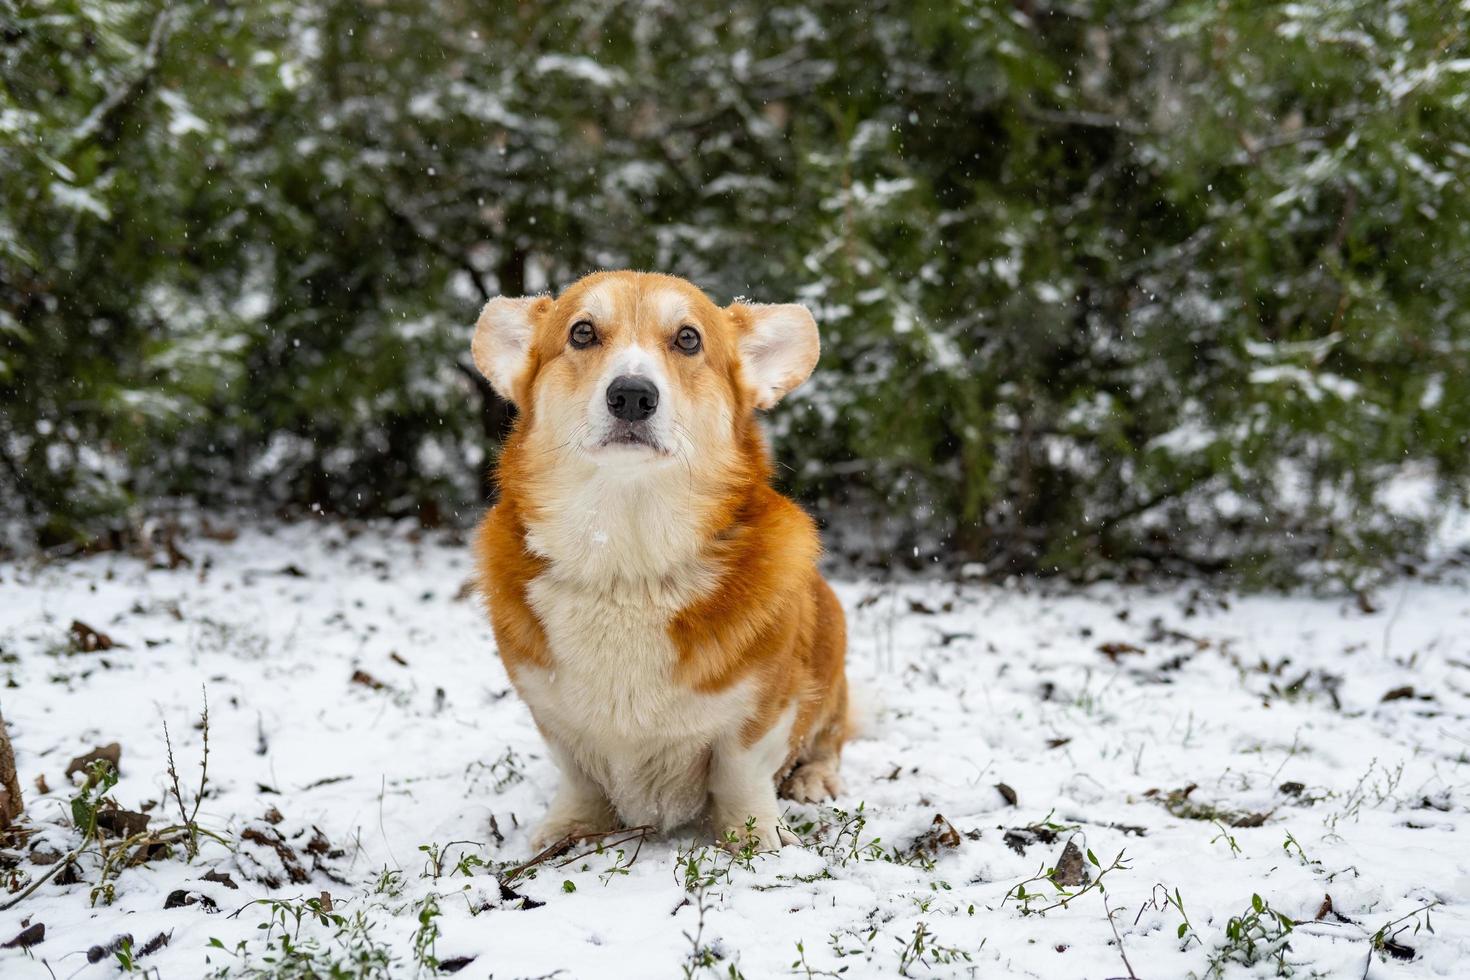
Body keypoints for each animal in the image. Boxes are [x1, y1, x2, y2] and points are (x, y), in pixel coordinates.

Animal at [470, 271, 852, 852]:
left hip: (833, 647)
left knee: (831, 736)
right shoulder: (549, 711)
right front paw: (568, 828)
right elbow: (578, 774)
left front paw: (757, 837)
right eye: (582, 332)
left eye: (688, 339)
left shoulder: (764, 708)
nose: (632, 395)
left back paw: (813, 778)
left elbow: (741, 772)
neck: (629, 567)